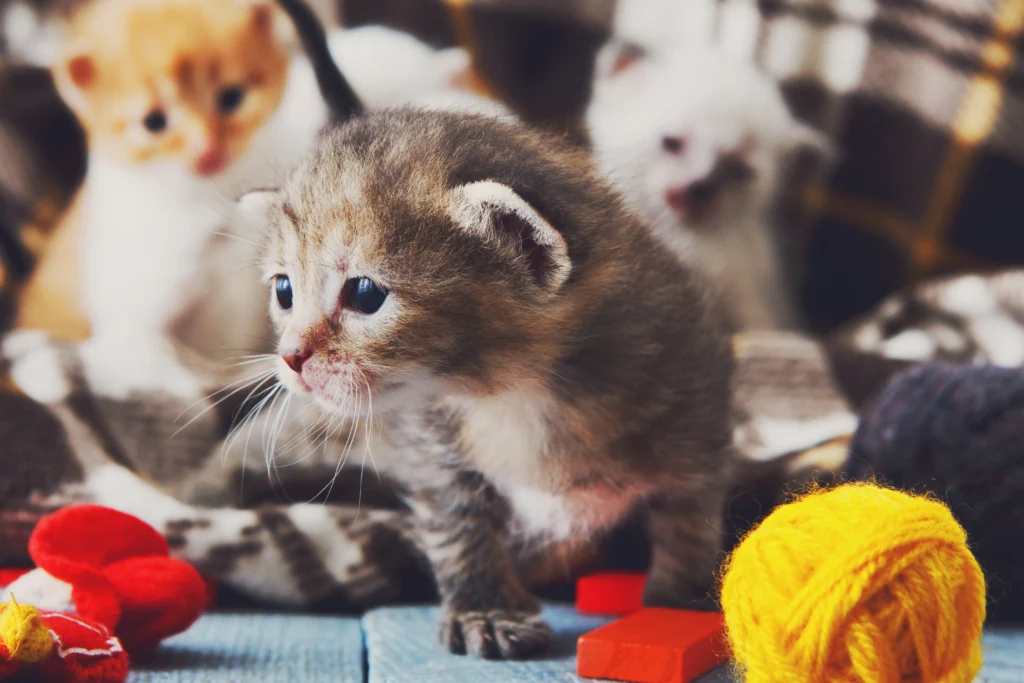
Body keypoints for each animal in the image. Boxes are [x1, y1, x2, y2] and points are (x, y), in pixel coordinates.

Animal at [247, 0, 733, 663]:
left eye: (366, 295)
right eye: (284, 291)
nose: (291, 357)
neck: (521, 396)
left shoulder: (697, 414)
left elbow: (688, 524)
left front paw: (676, 608)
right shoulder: (433, 448)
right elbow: (458, 523)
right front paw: (485, 608)